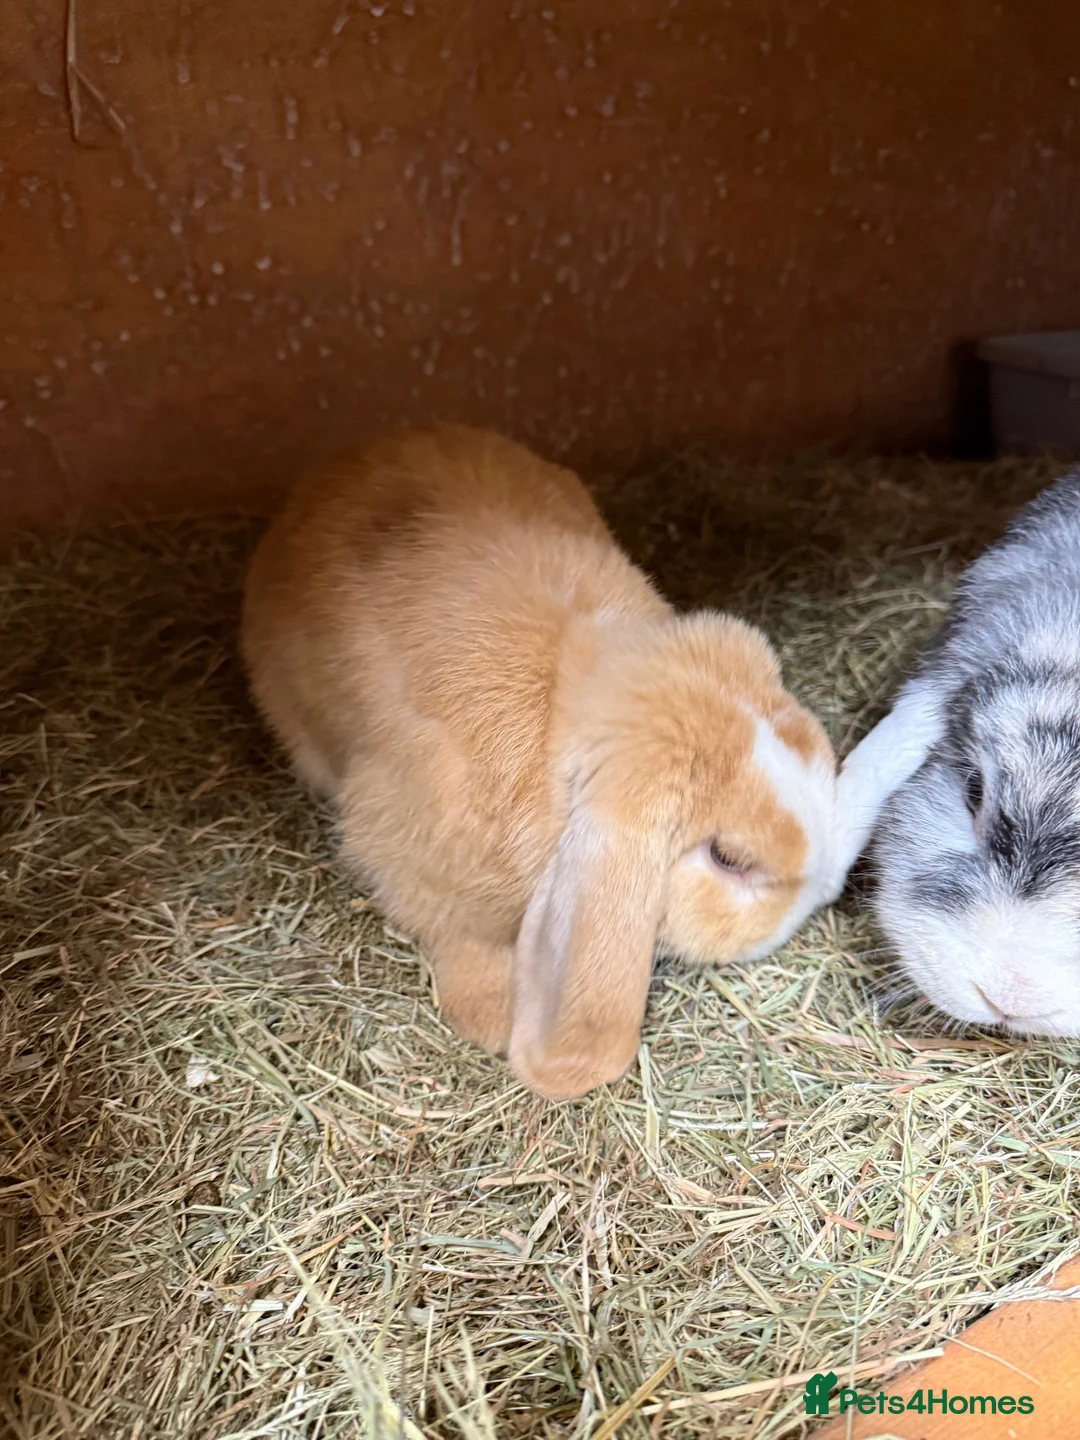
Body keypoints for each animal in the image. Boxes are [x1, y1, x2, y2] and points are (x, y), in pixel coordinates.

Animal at [241, 424, 844, 1098]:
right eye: (728, 859)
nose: (824, 896)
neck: (568, 692)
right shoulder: (405, 849)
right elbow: (453, 929)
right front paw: (492, 1021)